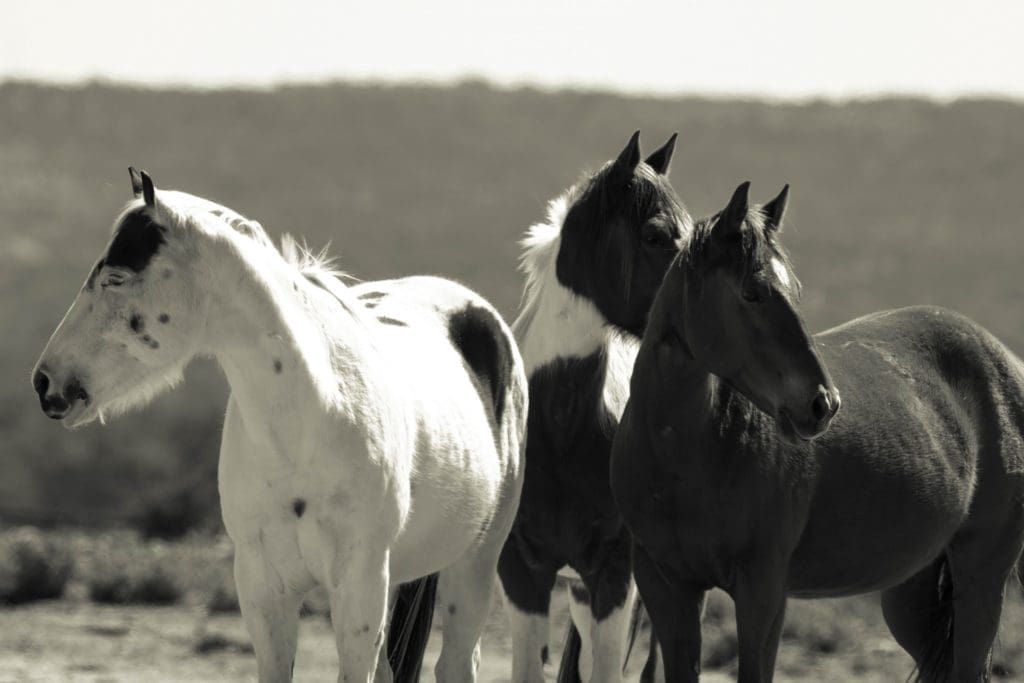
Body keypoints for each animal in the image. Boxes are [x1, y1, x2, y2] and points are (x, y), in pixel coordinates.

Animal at [31, 169, 528, 683]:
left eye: (116, 277)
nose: (46, 383)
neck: (307, 422)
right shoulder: (263, 588)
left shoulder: (358, 586)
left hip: (473, 566)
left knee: (456, 662)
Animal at [611, 181, 1024, 682]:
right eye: (752, 292)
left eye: (794, 290)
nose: (823, 404)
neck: (684, 458)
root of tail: (1004, 360)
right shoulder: (667, 587)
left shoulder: (762, 591)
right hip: (912, 590)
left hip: (982, 573)